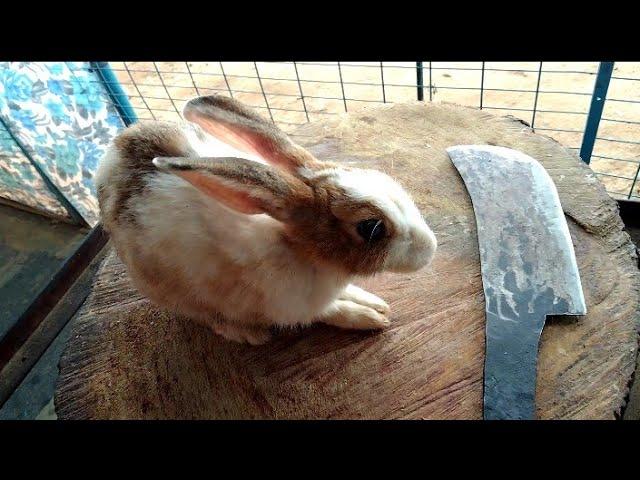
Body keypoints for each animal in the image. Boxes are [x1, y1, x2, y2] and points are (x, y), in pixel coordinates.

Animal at [95, 94, 438, 344]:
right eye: (371, 228)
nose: (430, 248)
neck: (301, 250)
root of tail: (111, 158)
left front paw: (373, 303)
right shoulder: (292, 305)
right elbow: (330, 311)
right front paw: (370, 318)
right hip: (175, 292)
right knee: (210, 317)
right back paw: (250, 334)